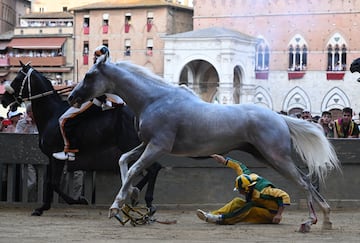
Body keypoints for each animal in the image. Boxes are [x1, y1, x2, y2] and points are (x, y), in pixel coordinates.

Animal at [1, 62, 162, 216]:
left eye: (17, 79)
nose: (3, 99)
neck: (51, 114)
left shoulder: (56, 156)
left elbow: (54, 183)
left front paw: (78, 200)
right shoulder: (51, 157)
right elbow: (49, 182)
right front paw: (42, 208)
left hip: (131, 143)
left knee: (153, 168)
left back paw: (145, 200)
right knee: (151, 168)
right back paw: (135, 193)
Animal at [68, 55, 340, 234]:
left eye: (89, 75)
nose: (72, 97)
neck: (155, 99)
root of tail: (280, 117)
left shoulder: (158, 147)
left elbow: (134, 168)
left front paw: (116, 206)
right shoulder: (147, 144)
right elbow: (124, 160)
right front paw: (131, 196)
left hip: (276, 157)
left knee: (304, 182)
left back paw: (311, 222)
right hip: (266, 156)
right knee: (307, 181)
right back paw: (326, 219)